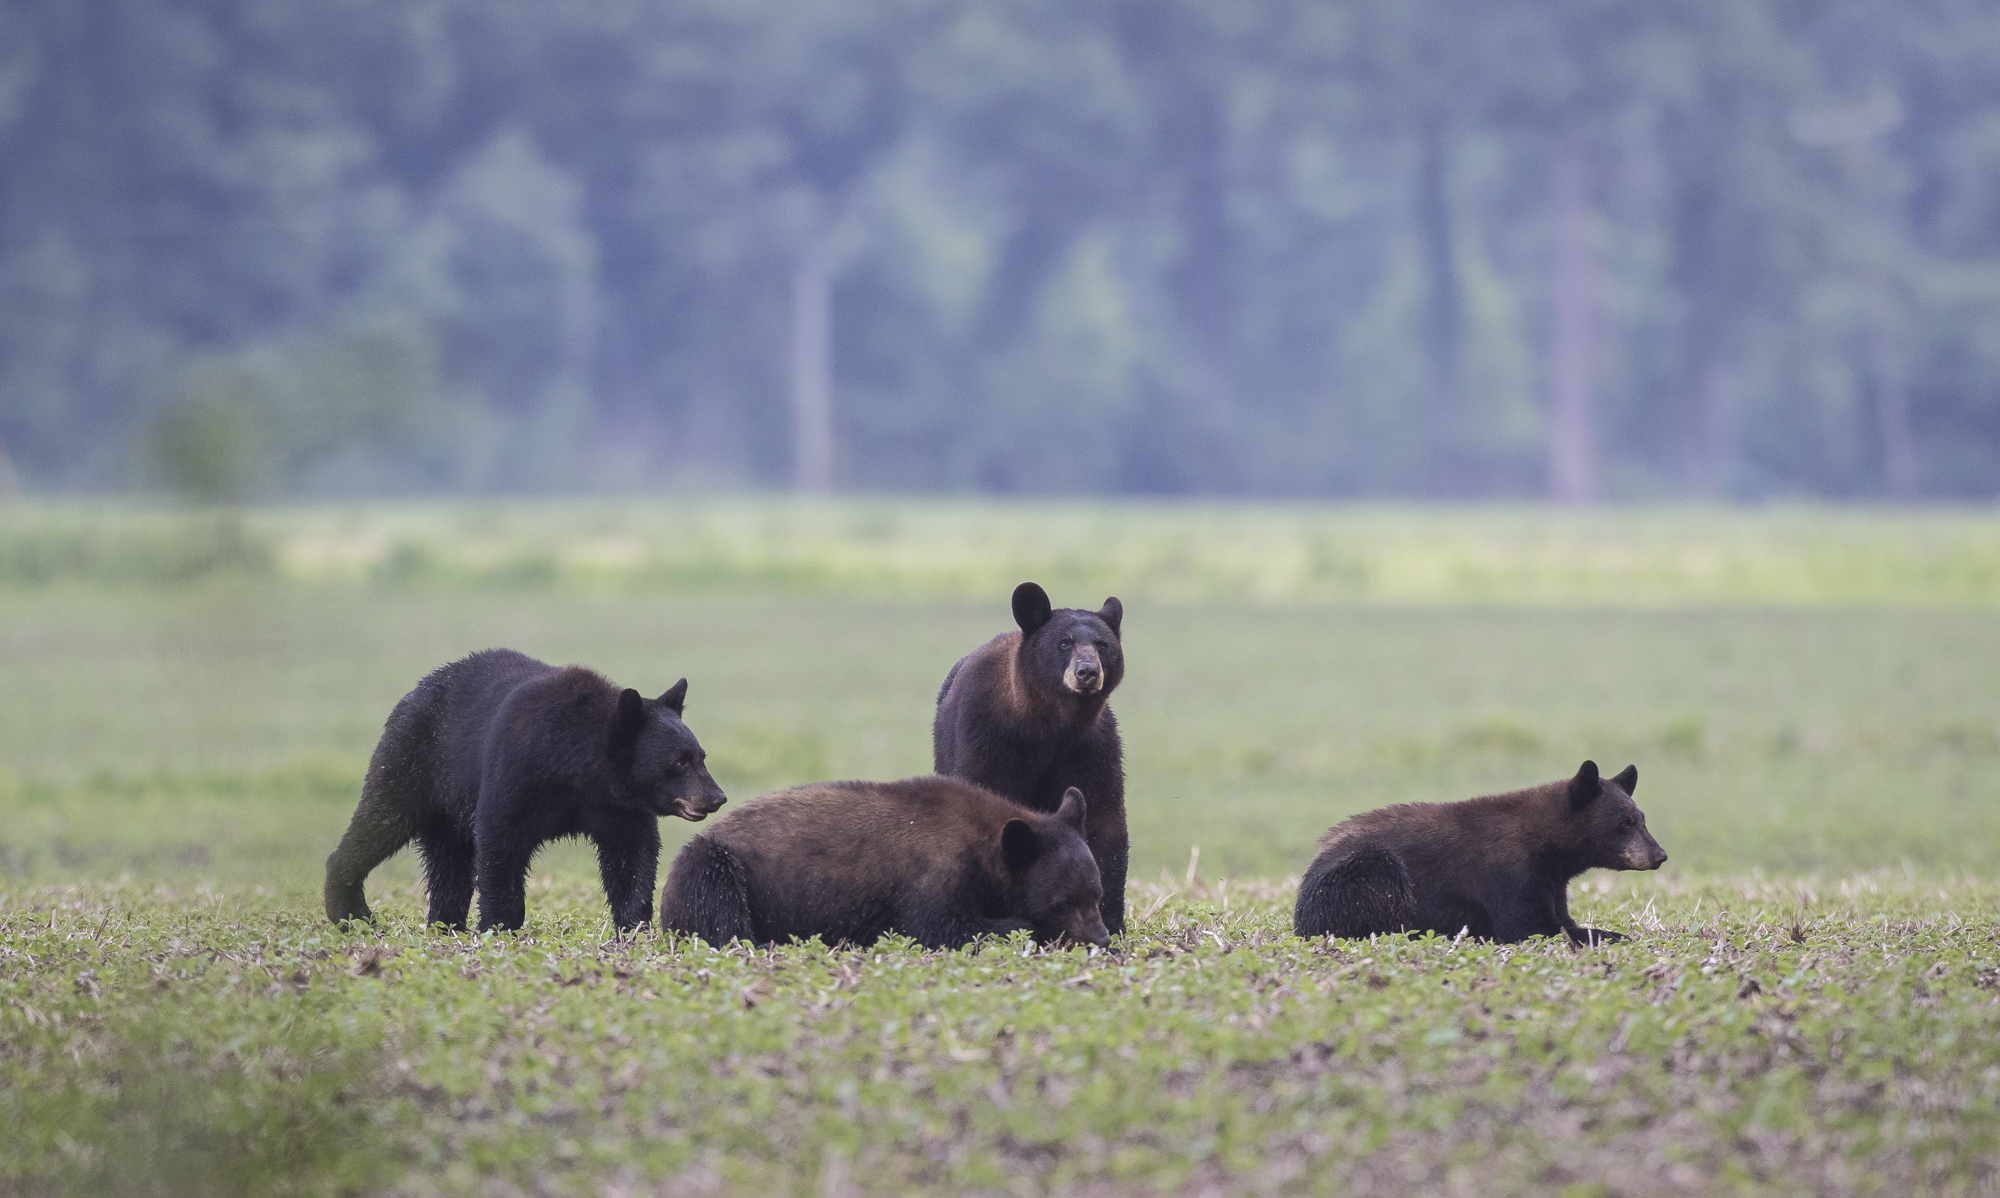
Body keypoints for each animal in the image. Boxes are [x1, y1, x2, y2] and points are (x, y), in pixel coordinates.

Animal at [323, 648, 727, 933]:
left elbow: (632, 854)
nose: (717, 797)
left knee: (448, 860)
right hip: (413, 758)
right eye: (678, 761)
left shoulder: (616, 806)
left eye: (701, 755)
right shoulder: (517, 773)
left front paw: (634, 927)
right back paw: (351, 912)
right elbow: (500, 841)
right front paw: (500, 927)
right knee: (381, 817)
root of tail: (415, 690)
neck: (577, 769)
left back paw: (445, 924)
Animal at [658, 776, 1111, 951]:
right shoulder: (932, 872)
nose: (1102, 938)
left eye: (1097, 893)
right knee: (715, 903)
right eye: (1063, 901)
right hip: (714, 863)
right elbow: (939, 927)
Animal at [932, 581, 1129, 934]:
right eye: (1064, 642)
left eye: (1102, 644)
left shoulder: (1091, 748)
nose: (1087, 672)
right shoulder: (985, 737)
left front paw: (1110, 920)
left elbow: (1103, 818)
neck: (1047, 724)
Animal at [1292, 760, 1667, 945]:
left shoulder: (1551, 882)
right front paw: (1612, 935)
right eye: (1624, 823)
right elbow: (1527, 926)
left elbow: (1560, 919)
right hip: (1360, 875)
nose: (1659, 855)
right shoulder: (1510, 873)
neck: (1546, 844)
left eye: (1642, 819)